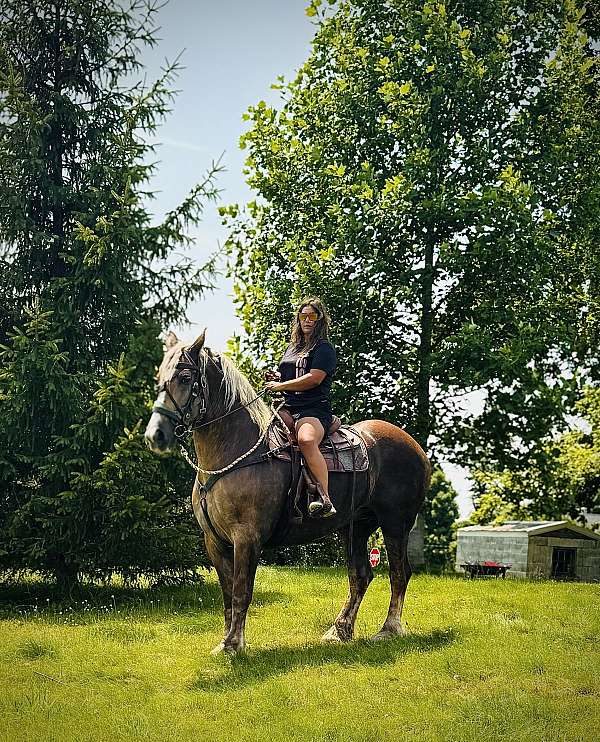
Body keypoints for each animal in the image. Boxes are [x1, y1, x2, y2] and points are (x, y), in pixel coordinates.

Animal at [144, 330, 431, 655]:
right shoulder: (215, 542)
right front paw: (226, 642)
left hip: (395, 524)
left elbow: (242, 591)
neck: (238, 452)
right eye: (160, 376)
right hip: (356, 527)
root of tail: (415, 447)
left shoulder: (247, 538)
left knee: (399, 573)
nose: (156, 435)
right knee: (361, 575)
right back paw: (340, 630)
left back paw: (389, 629)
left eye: (184, 377)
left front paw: (234, 645)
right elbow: (227, 594)